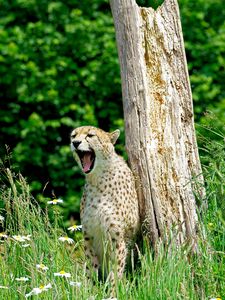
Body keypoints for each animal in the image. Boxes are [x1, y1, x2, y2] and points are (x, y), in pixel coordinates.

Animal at [70, 125, 141, 296]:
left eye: (90, 135)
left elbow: (116, 270)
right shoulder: (88, 236)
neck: (97, 179)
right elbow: (91, 268)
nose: (75, 143)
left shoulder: (118, 239)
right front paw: (89, 292)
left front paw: (112, 294)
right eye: (73, 135)